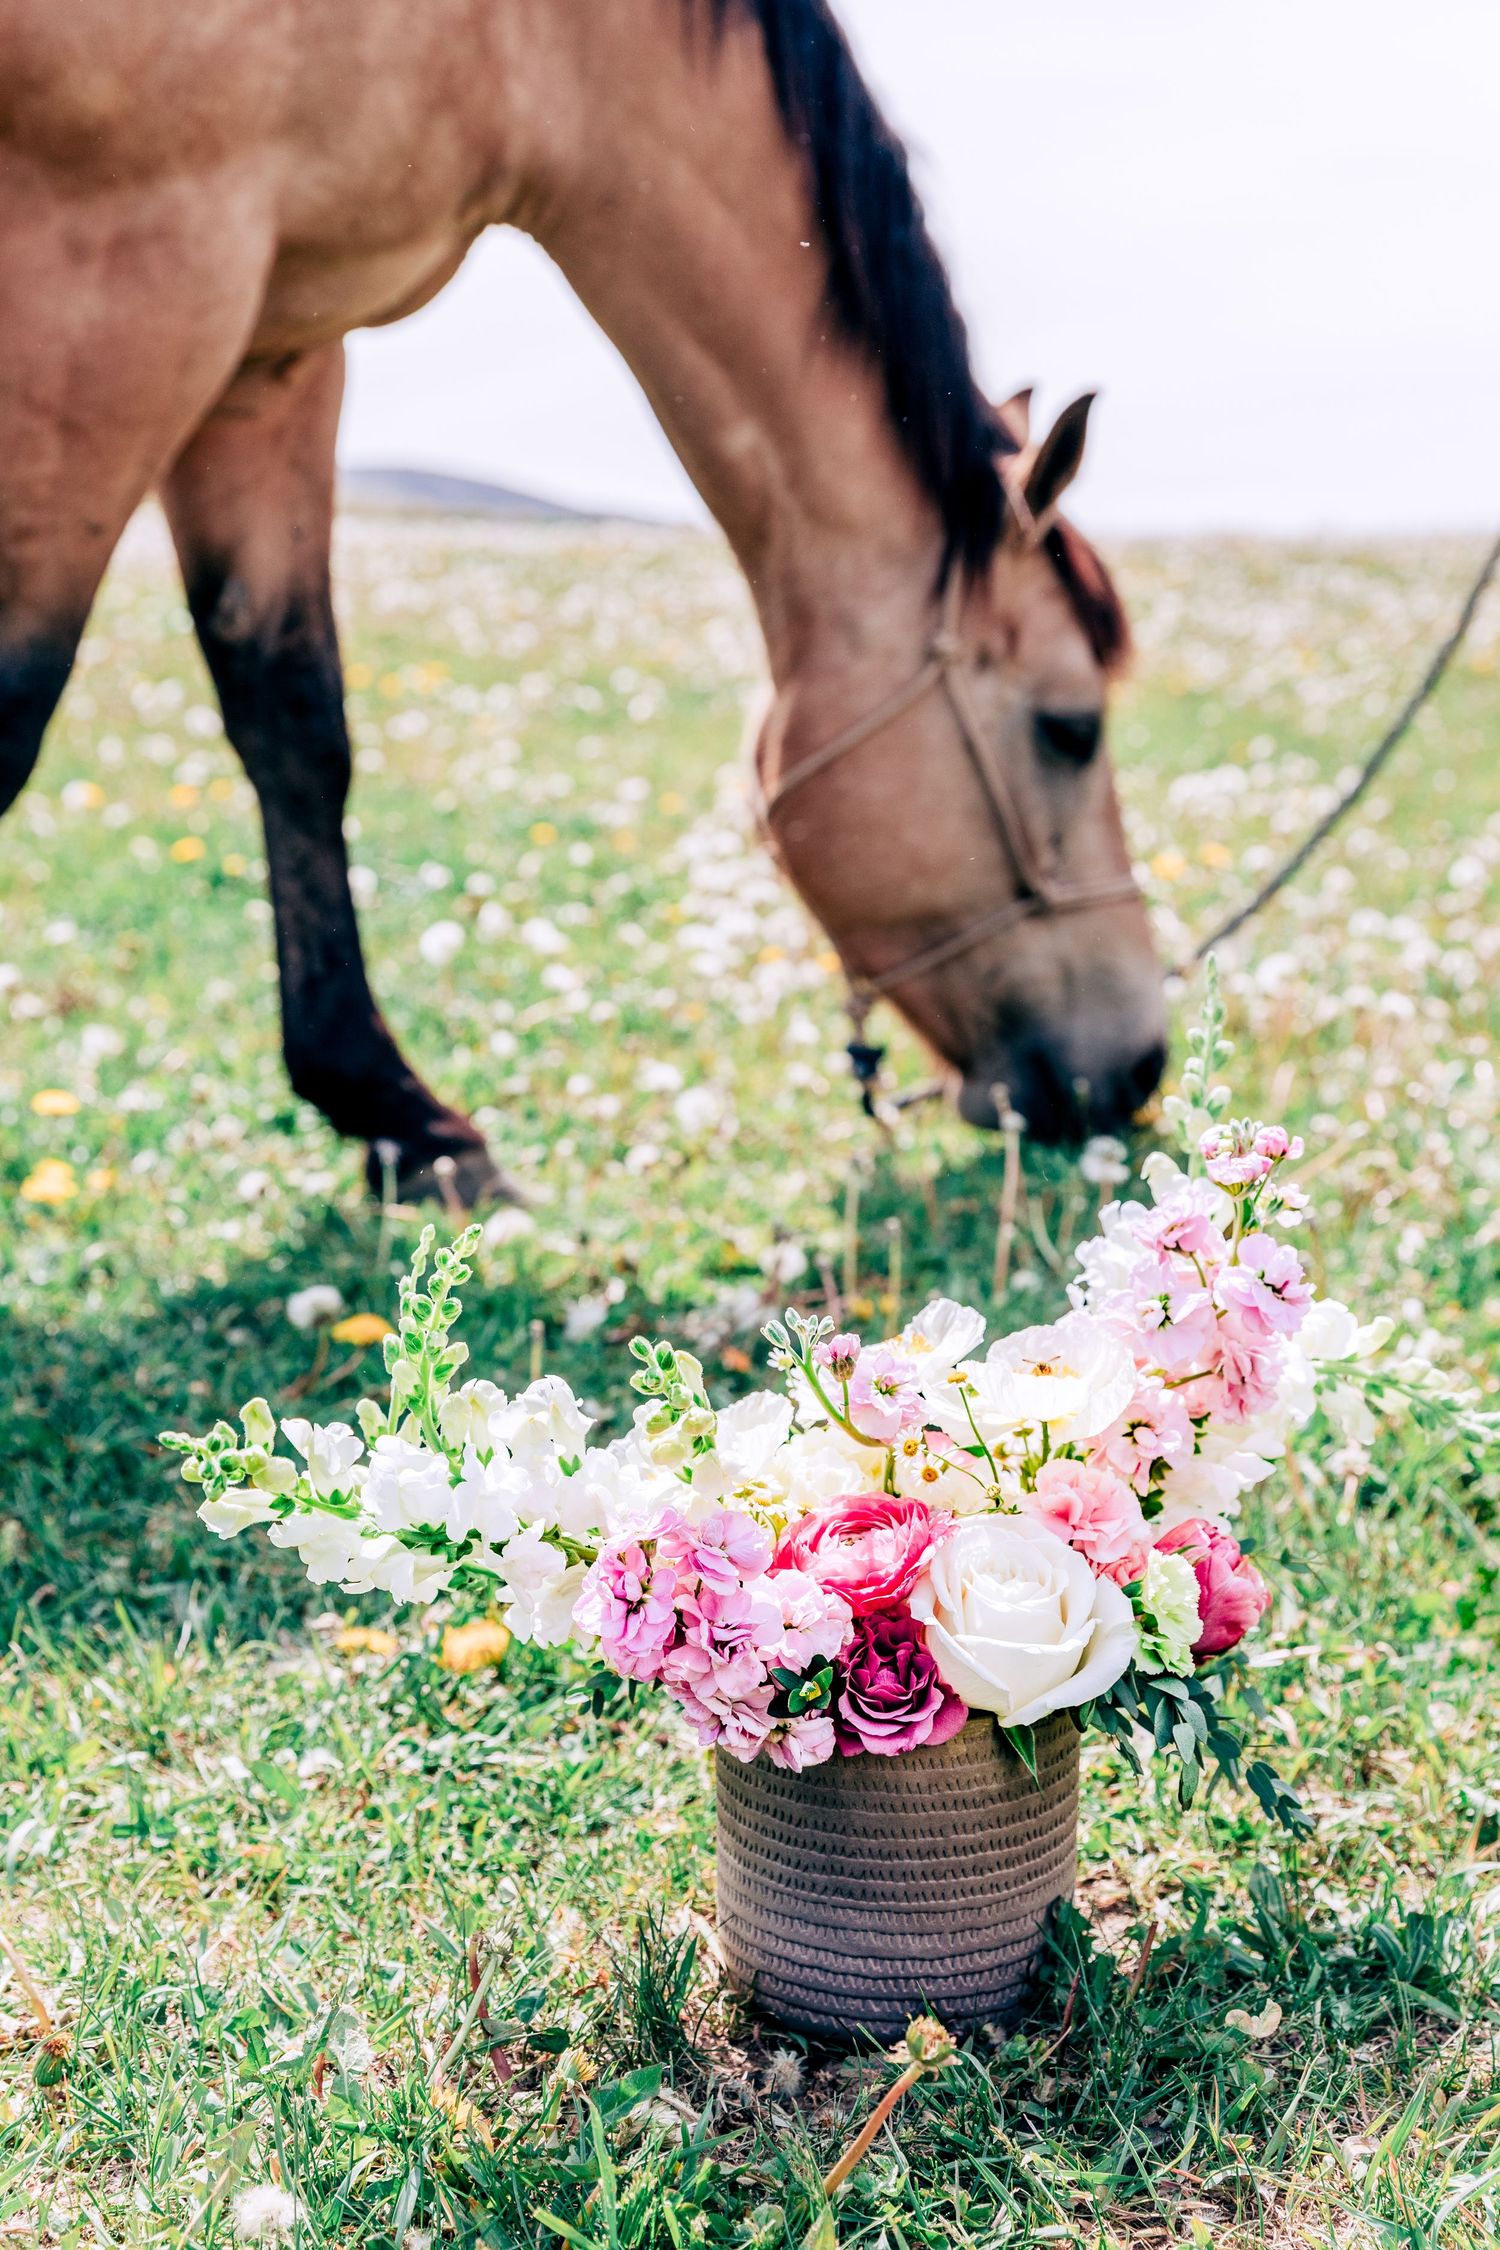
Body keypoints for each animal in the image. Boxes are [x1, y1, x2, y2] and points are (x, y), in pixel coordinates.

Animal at [0, 0, 1166, 1206]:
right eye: (1071, 729)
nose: (1141, 1065)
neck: (526, 49)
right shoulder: (137, 275)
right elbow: (14, 714)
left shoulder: (278, 342)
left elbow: (295, 726)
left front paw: (395, 1113)